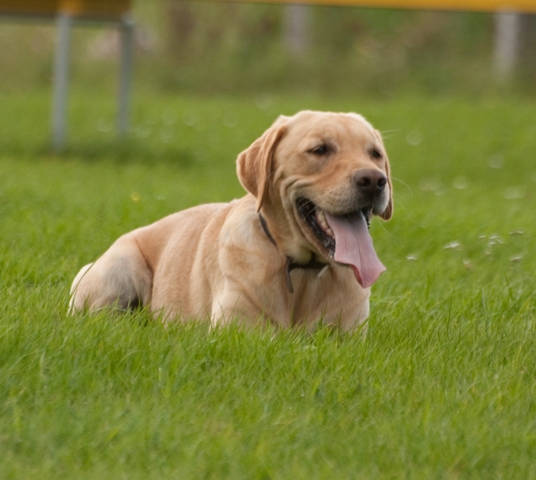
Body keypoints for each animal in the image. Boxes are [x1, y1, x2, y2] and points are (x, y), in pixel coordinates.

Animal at [69, 111, 392, 332]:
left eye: (375, 154)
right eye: (320, 149)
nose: (374, 180)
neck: (301, 271)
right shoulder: (237, 330)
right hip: (119, 267)